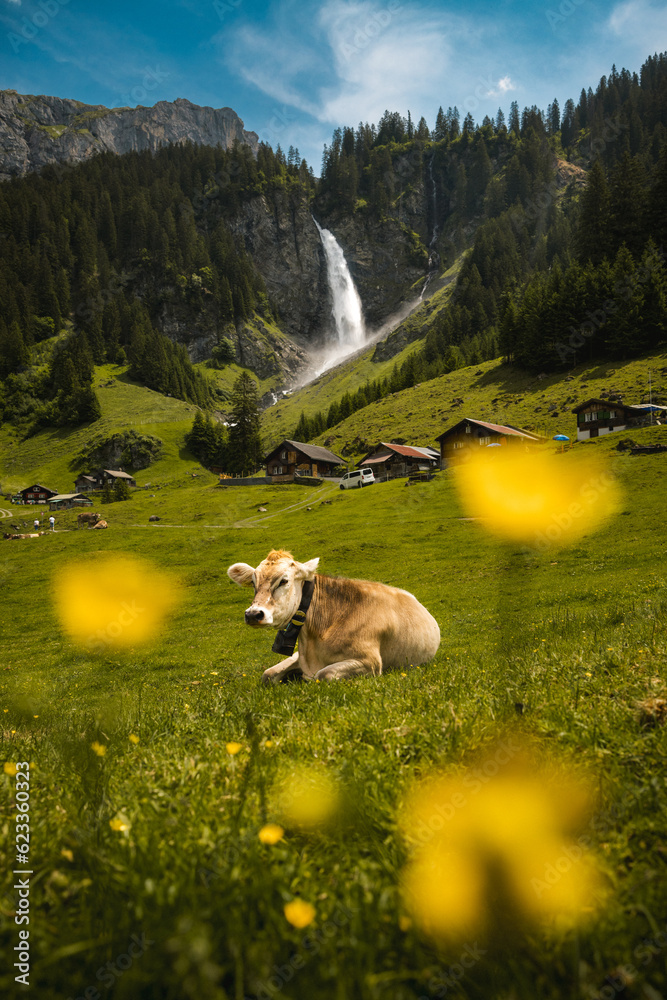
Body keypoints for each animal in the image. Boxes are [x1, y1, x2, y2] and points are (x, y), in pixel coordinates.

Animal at [227, 549, 440, 684]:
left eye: (283, 581)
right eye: (253, 583)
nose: (253, 614)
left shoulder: (370, 661)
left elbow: (324, 674)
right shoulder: (299, 656)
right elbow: (268, 675)